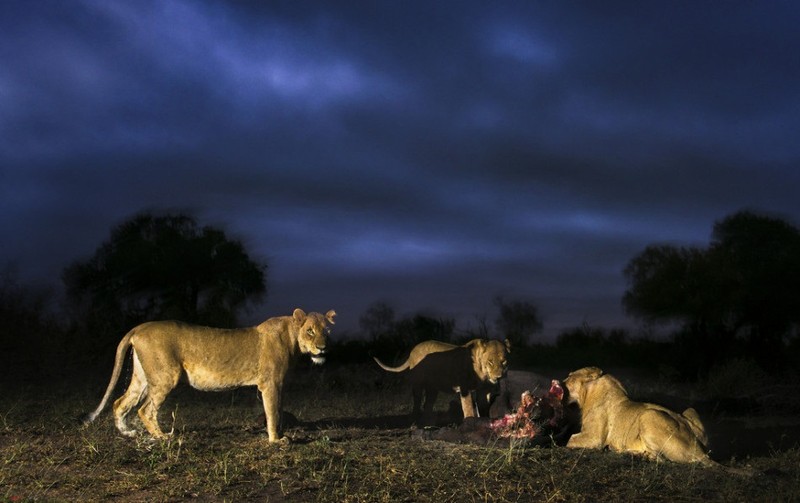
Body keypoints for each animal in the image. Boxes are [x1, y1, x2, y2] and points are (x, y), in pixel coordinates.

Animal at [86, 310, 336, 442]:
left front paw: (282, 434)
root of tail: (138, 327)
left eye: (326, 331)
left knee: (120, 403)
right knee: (145, 409)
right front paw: (276, 440)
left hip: (142, 377)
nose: (323, 348)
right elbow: (272, 412)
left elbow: (279, 410)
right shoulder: (270, 383)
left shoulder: (279, 385)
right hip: (167, 376)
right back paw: (163, 437)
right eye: (310, 331)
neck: (292, 338)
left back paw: (128, 432)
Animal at [374, 338, 510, 426]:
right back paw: (415, 420)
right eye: (490, 361)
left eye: (503, 361)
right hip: (418, 384)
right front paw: (469, 422)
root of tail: (413, 350)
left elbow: (483, 408)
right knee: (417, 401)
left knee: (427, 404)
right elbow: (468, 407)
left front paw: (484, 422)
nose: (498, 377)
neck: (484, 374)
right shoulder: (465, 388)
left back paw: (428, 423)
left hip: (433, 388)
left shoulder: (484, 391)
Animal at [560, 366, 716, 468]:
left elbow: (570, 440)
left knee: (661, 459)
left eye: (570, 377)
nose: (559, 383)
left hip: (648, 414)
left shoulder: (594, 438)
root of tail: (700, 451)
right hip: (690, 411)